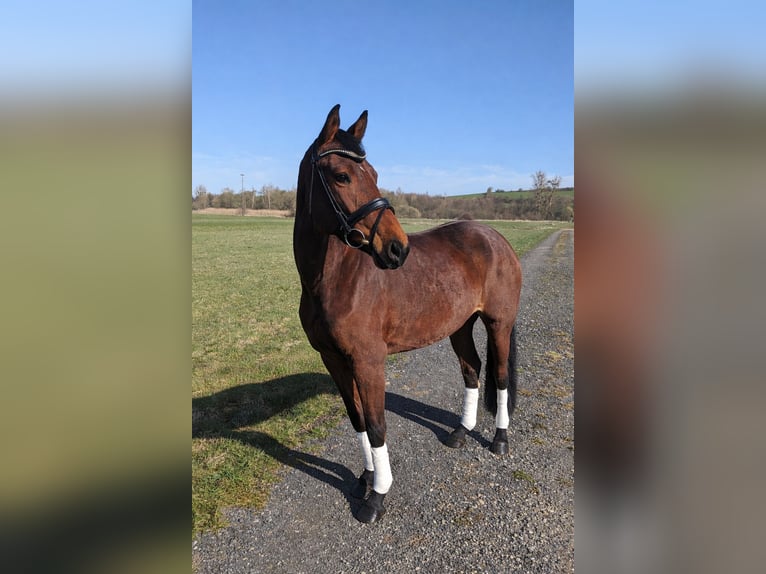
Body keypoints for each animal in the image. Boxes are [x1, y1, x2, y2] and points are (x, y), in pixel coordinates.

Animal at [293, 105, 522, 523]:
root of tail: (495, 237)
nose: (397, 249)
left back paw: (499, 439)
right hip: (459, 326)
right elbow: (357, 419)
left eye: (375, 174)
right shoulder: (333, 359)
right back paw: (460, 432)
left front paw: (377, 496)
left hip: (499, 323)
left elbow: (377, 425)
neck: (335, 280)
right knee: (472, 370)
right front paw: (364, 479)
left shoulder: (368, 361)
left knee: (498, 377)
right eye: (342, 175)